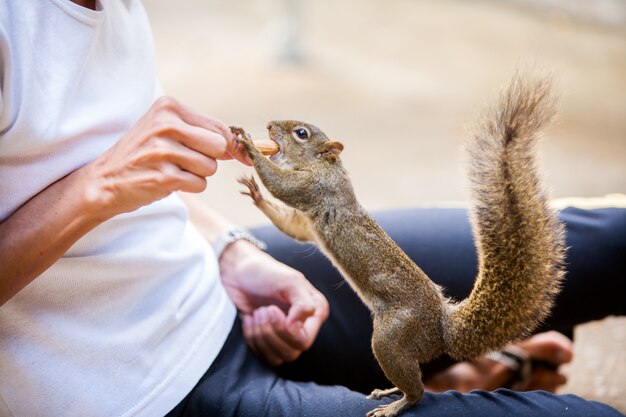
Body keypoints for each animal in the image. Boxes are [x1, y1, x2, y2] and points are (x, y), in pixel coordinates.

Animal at [230, 72, 564, 416]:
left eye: (301, 134)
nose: (269, 125)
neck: (327, 166)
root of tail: (441, 330)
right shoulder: (306, 223)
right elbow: (289, 224)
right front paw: (256, 194)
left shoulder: (315, 188)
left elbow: (281, 185)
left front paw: (249, 146)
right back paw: (390, 391)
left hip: (392, 337)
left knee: (417, 390)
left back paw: (396, 405)